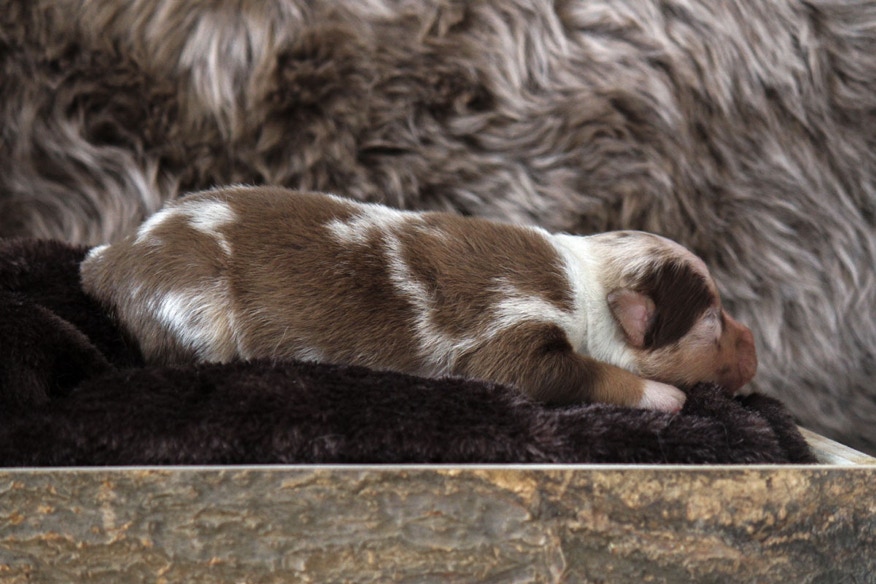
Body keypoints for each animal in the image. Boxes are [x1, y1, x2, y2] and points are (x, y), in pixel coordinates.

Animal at [80, 186, 757, 412]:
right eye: (713, 320)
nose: (754, 346)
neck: (587, 284)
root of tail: (115, 256)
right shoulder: (512, 334)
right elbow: (572, 373)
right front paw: (668, 397)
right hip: (195, 313)